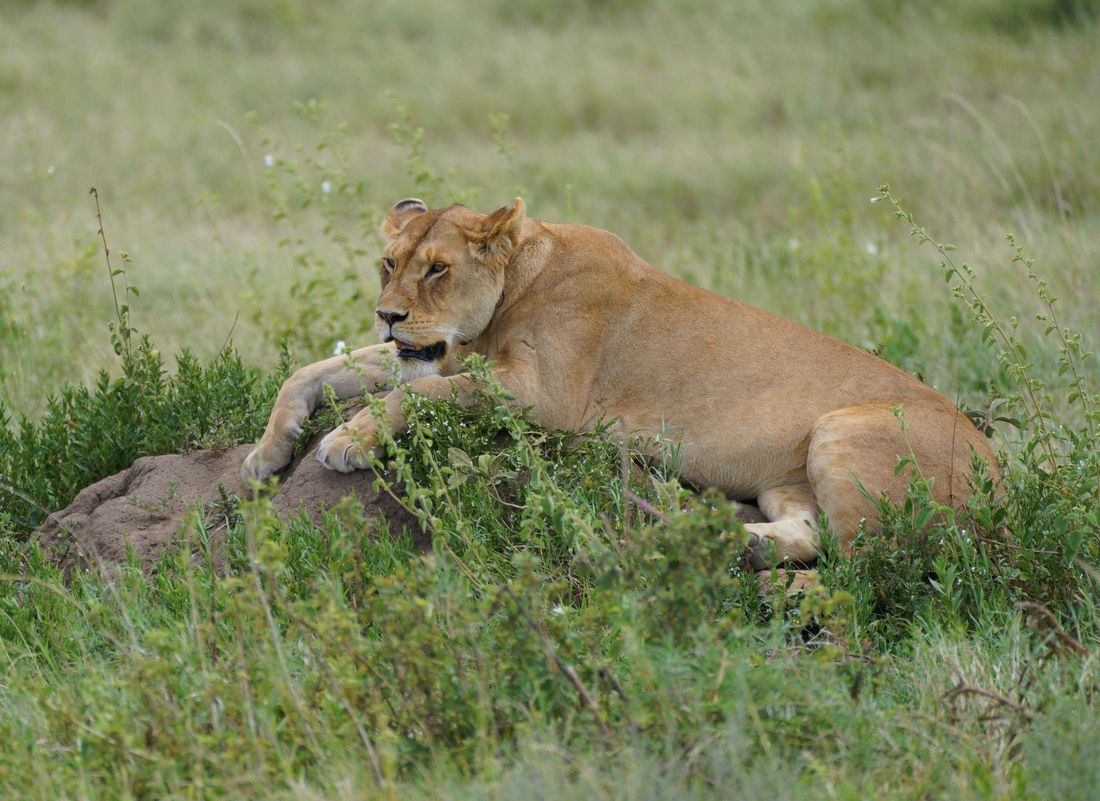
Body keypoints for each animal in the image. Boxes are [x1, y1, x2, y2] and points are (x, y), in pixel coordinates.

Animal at [242, 197, 998, 569]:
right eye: (388, 262)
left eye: (437, 268)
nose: (388, 315)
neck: (518, 281)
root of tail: (1001, 470)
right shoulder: (442, 356)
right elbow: (313, 370)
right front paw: (267, 453)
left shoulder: (541, 398)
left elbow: (414, 391)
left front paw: (346, 441)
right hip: (788, 478)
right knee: (811, 537)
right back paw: (716, 539)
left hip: (841, 429)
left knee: (867, 561)